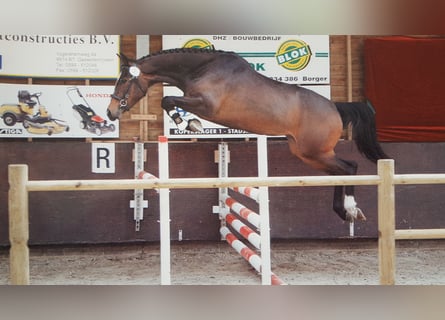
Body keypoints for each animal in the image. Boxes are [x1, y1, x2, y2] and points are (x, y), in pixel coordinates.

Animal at [108, 48, 388, 222]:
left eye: (123, 81)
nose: (111, 113)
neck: (202, 69)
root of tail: (334, 107)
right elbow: (168, 100)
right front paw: (188, 122)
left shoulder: (205, 105)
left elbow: (167, 99)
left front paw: (191, 124)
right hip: (307, 154)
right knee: (341, 172)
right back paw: (345, 212)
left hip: (316, 152)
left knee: (350, 167)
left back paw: (350, 208)